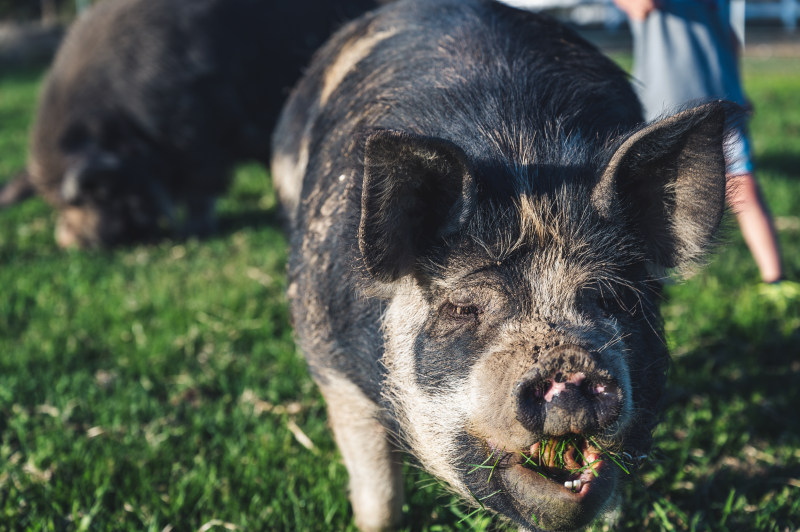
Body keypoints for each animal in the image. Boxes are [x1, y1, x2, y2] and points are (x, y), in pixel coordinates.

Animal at [1, 0, 382, 247]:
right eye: (53, 203)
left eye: (98, 195)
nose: (70, 243)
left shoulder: (196, 135)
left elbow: (202, 187)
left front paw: (194, 232)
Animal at [272, 2, 736, 528]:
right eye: (461, 309)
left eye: (614, 298)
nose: (567, 363)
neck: (524, 165)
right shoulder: (327, 358)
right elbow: (378, 493)